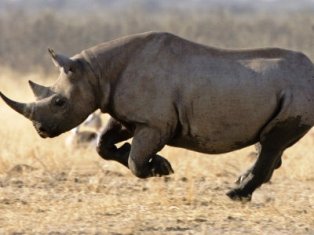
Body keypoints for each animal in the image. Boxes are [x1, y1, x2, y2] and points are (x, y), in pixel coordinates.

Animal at [0, 31, 314, 200]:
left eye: (59, 102)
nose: (40, 129)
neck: (95, 72)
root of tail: (311, 70)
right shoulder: (125, 114)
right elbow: (103, 144)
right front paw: (160, 164)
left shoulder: (155, 123)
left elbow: (136, 160)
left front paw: (159, 170)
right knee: (271, 143)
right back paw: (241, 185)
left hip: (297, 92)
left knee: (273, 141)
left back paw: (235, 194)